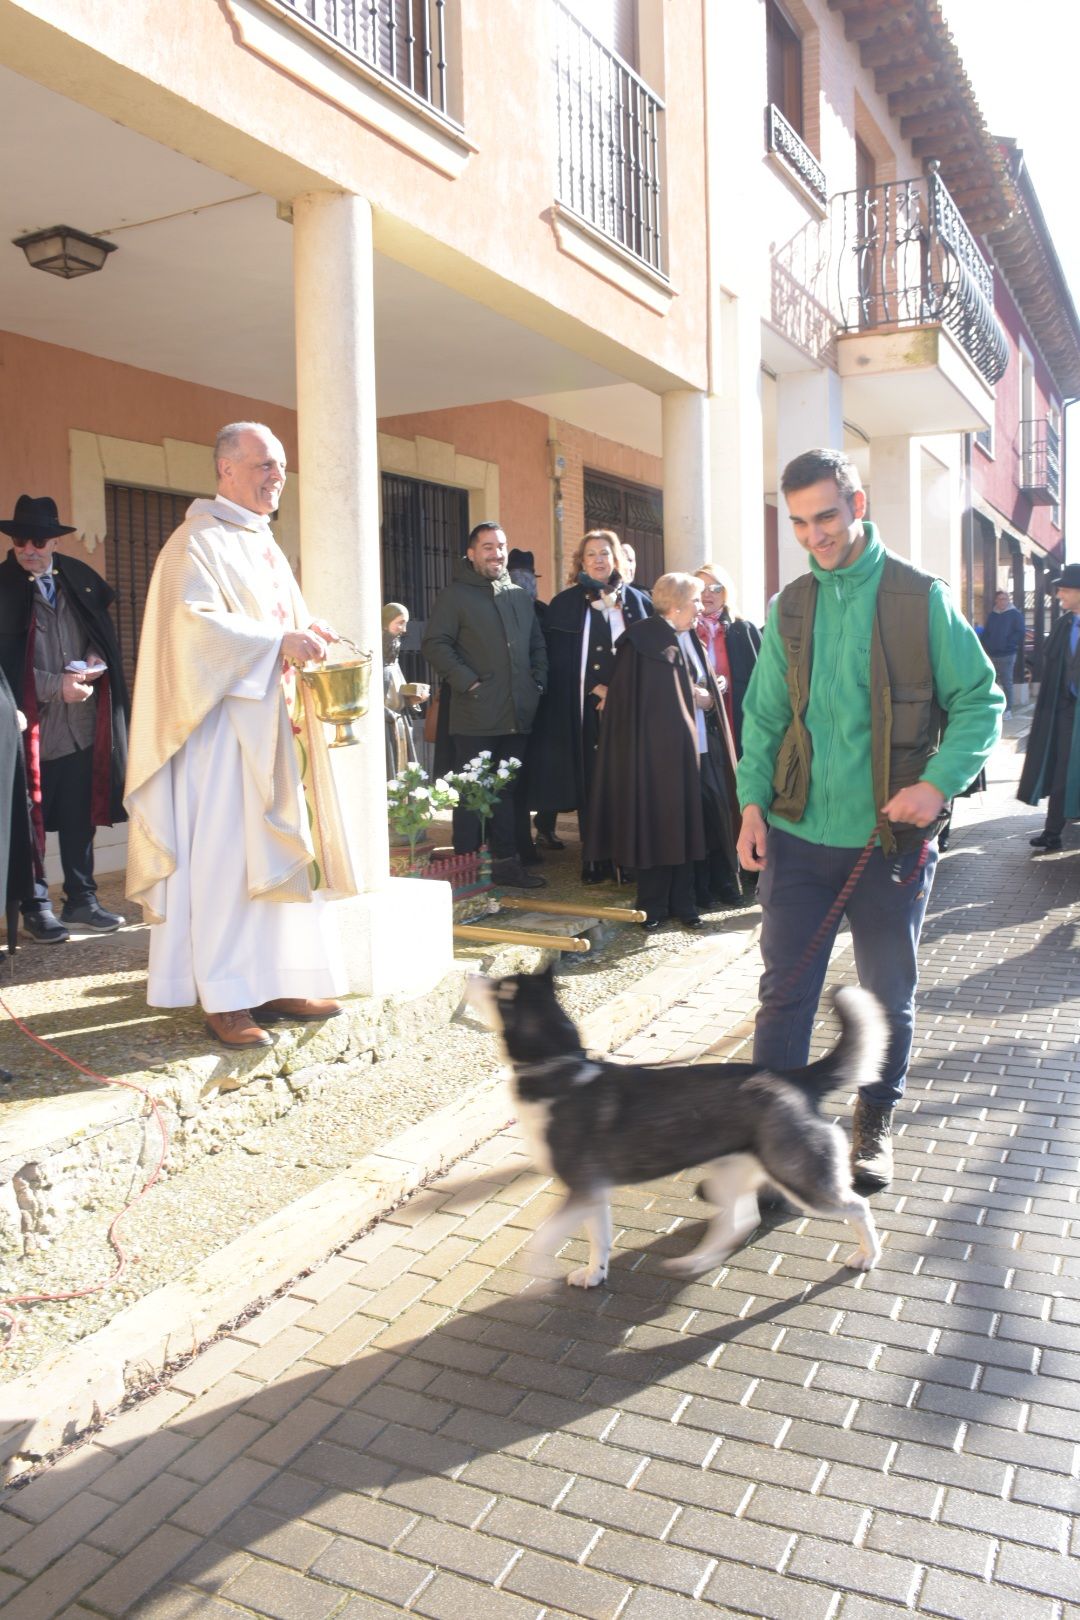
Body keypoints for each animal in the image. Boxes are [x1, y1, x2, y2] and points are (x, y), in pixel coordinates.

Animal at [469, 959, 887, 1289]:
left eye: (499, 986)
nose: (471, 973)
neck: (557, 1066)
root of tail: (793, 1078)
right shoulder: (592, 1191)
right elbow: (599, 1239)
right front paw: (594, 1274)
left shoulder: (580, 1189)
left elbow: (539, 1242)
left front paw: (536, 1277)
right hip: (730, 1172)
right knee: (740, 1221)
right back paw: (694, 1261)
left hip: (800, 1177)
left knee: (858, 1207)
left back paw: (868, 1255)